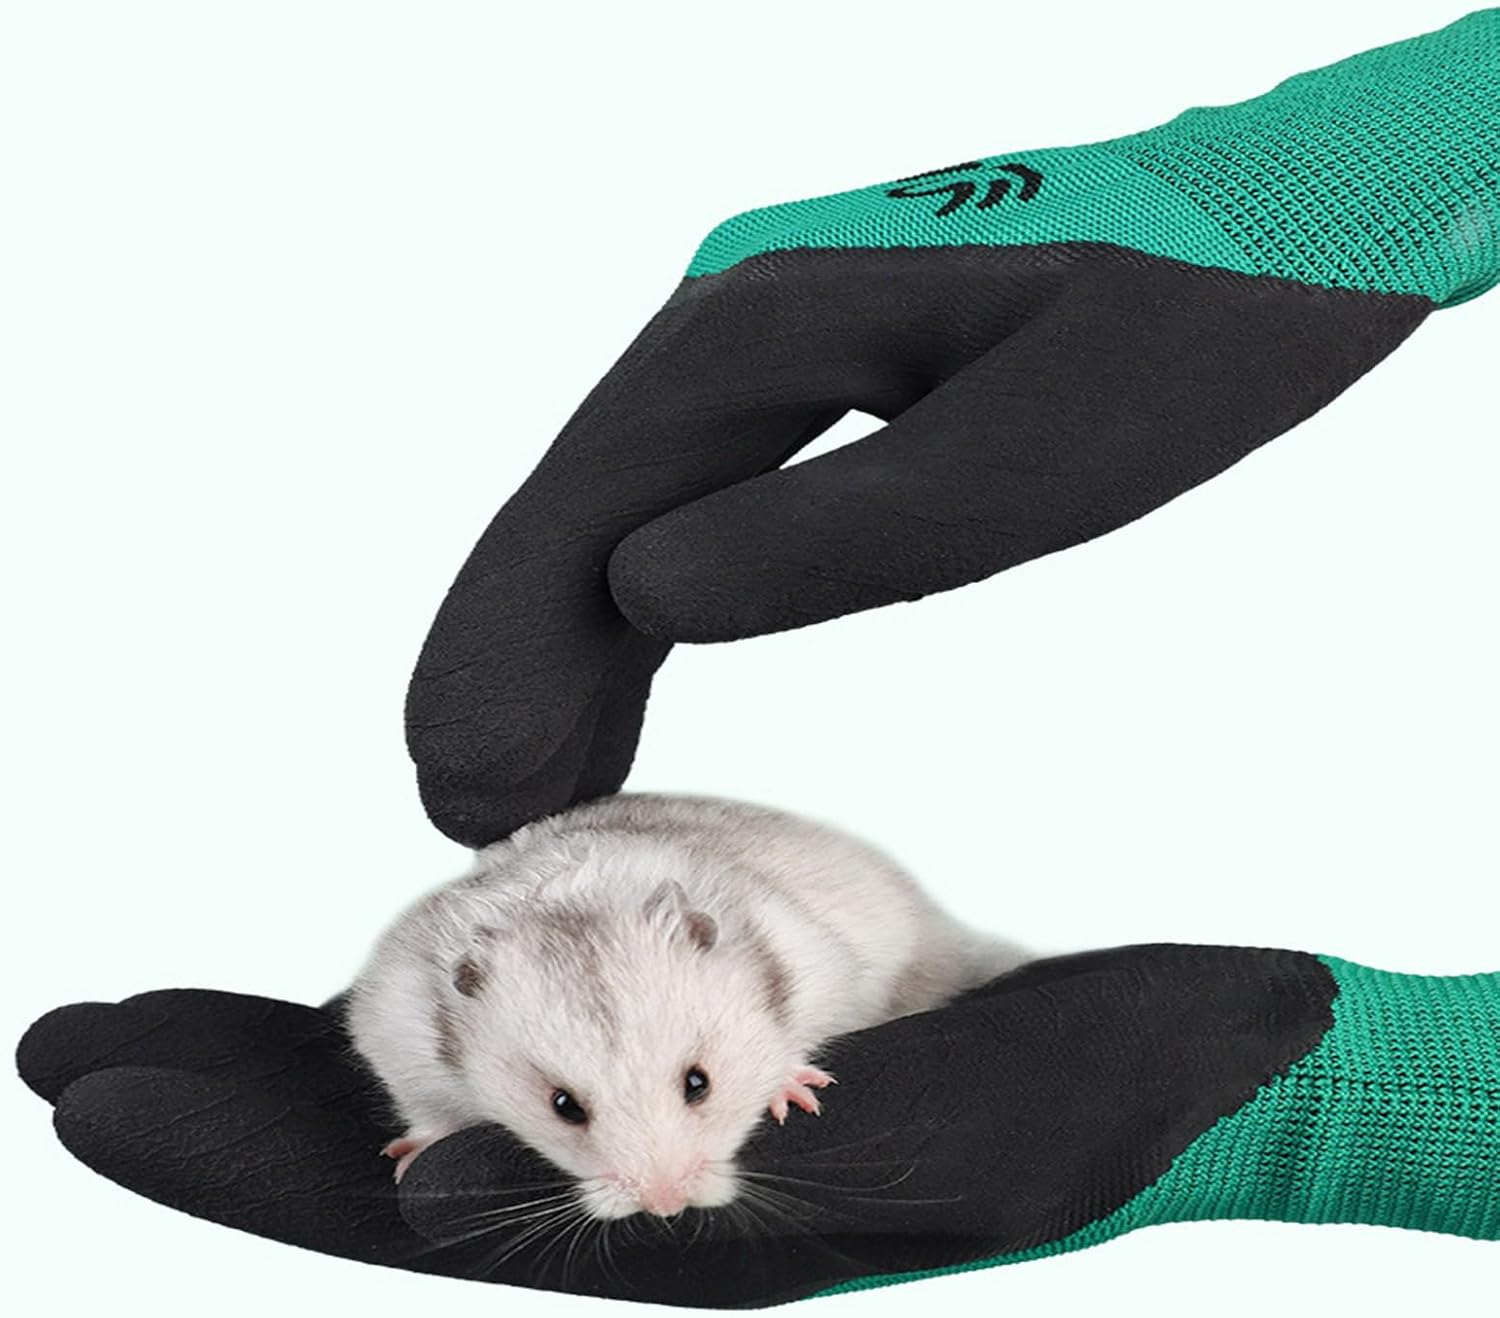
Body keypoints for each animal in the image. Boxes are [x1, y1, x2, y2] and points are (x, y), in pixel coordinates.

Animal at [347, 793, 1025, 1219]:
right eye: (563, 1107)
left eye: (699, 1083)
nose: (666, 1207)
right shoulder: (395, 1033)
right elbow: (426, 1112)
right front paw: (407, 1160)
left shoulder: (816, 963)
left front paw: (794, 1094)